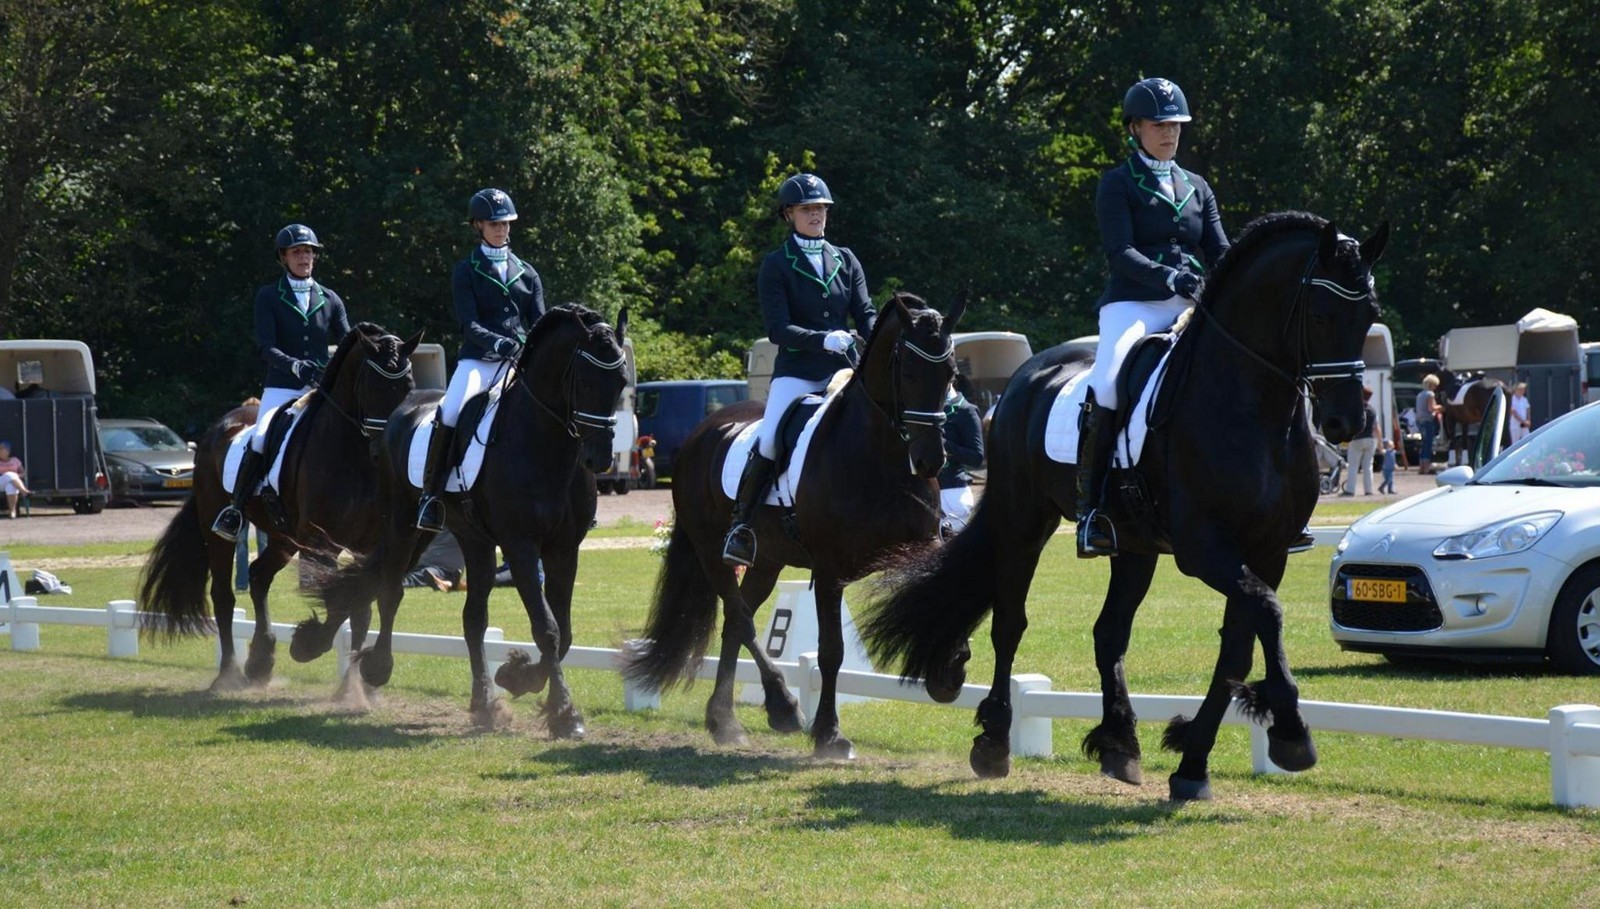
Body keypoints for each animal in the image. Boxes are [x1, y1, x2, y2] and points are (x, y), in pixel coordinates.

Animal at [138, 324, 422, 688]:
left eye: (408, 387)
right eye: (372, 386)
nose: (384, 450)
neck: (354, 455)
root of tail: (220, 426)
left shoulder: (368, 544)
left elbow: (360, 605)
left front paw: (352, 687)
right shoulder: (319, 541)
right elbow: (339, 601)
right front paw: (308, 645)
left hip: (283, 538)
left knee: (259, 576)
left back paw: (261, 660)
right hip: (216, 525)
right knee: (223, 595)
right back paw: (228, 673)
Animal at [305, 302, 624, 736]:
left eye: (621, 383)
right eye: (588, 383)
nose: (601, 459)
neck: (544, 442)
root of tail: (401, 411)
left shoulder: (563, 549)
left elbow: (564, 630)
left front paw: (518, 677)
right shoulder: (522, 547)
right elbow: (548, 629)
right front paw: (565, 713)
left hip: (469, 538)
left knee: (472, 618)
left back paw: (484, 703)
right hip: (405, 525)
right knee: (390, 588)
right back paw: (377, 667)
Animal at [624, 292, 960, 758]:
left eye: (951, 373)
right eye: (908, 370)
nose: (930, 460)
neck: (881, 456)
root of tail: (703, 430)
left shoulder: (923, 549)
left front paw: (950, 672)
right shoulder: (831, 571)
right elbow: (831, 651)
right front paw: (830, 735)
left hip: (766, 560)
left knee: (736, 623)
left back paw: (725, 720)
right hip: (713, 552)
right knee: (741, 618)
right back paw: (779, 708)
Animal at [864, 212, 1388, 793]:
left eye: (1370, 314)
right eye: (1320, 313)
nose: (1346, 422)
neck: (1252, 405)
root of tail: (1024, 378)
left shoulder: (1268, 551)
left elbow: (1240, 641)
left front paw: (1193, 761)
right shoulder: (1204, 548)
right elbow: (1267, 614)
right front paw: (1291, 732)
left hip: (1133, 545)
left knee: (1108, 633)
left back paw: (1120, 744)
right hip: (1024, 522)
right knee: (1010, 624)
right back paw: (995, 742)